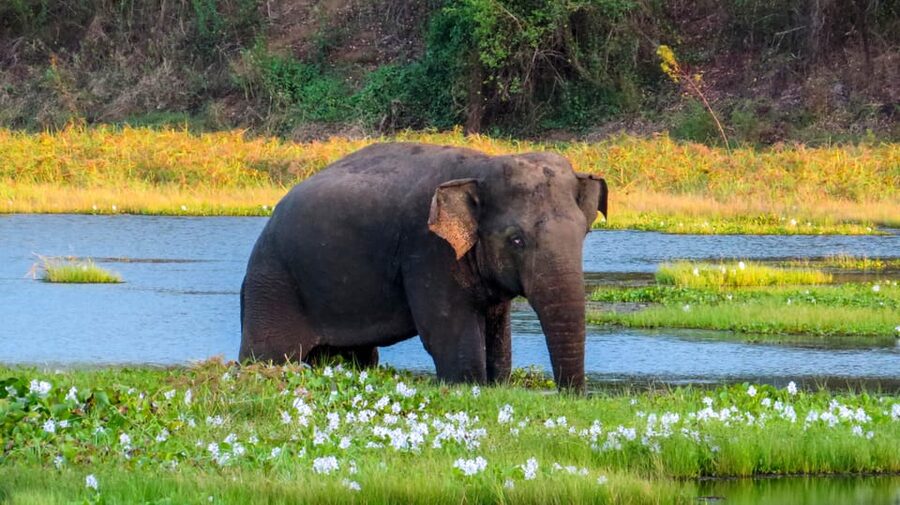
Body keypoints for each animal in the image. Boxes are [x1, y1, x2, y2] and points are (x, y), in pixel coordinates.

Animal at [239, 142, 607, 390]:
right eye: (516, 240)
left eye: (584, 234)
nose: (570, 396)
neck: (481, 167)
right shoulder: (427, 251)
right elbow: (446, 334)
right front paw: (469, 386)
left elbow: (498, 336)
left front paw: (496, 384)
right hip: (273, 284)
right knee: (267, 354)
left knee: (357, 357)